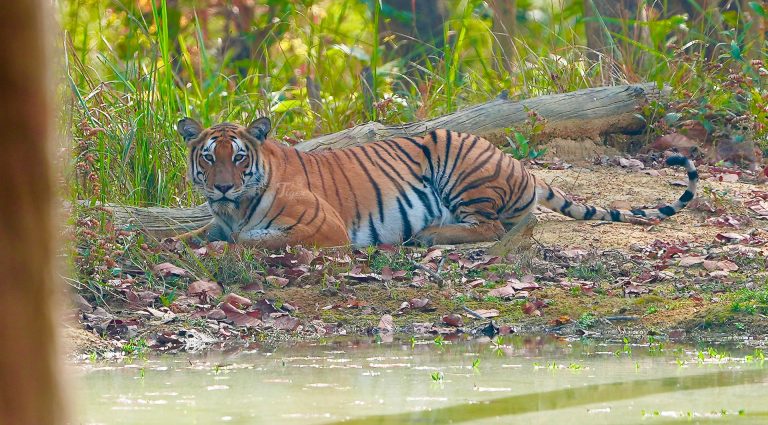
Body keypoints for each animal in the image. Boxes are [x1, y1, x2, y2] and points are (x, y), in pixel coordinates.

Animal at [177, 117, 698, 249]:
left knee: (491, 227)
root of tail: (523, 168)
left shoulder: (324, 228)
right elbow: (190, 236)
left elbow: (250, 239)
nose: (222, 187)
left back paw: (426, 234)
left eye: (238, 159)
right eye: (209, 158)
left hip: (459, 164)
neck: (233, 208)